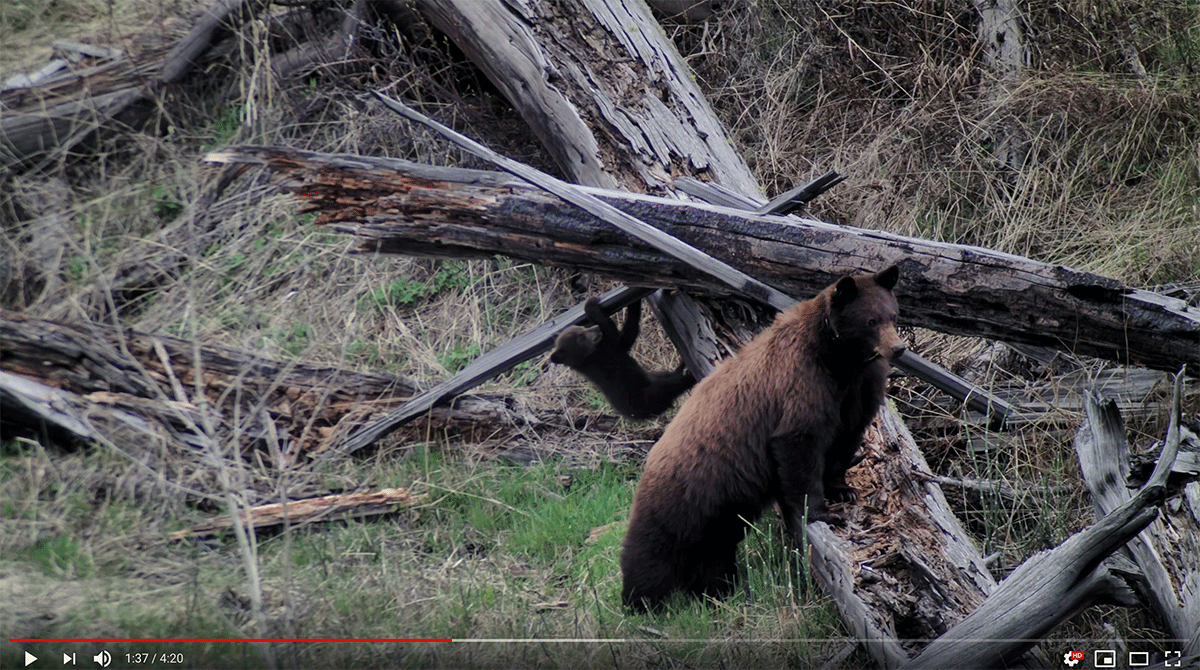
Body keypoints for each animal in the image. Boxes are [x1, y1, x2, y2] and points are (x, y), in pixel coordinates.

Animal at [624, 265, 902, 612]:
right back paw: (640, 602)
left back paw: (717, 591)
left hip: (717, 516)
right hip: (683, 494)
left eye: (894, 314)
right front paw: (823, 510)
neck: (839, 360)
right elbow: (799, 442)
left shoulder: (858, 390)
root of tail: (652, 456)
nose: (899, 348)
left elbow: (846, 438)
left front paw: (843, 489)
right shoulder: (802, 379)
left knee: (712, 555)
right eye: (871, 321)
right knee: (652, 553)